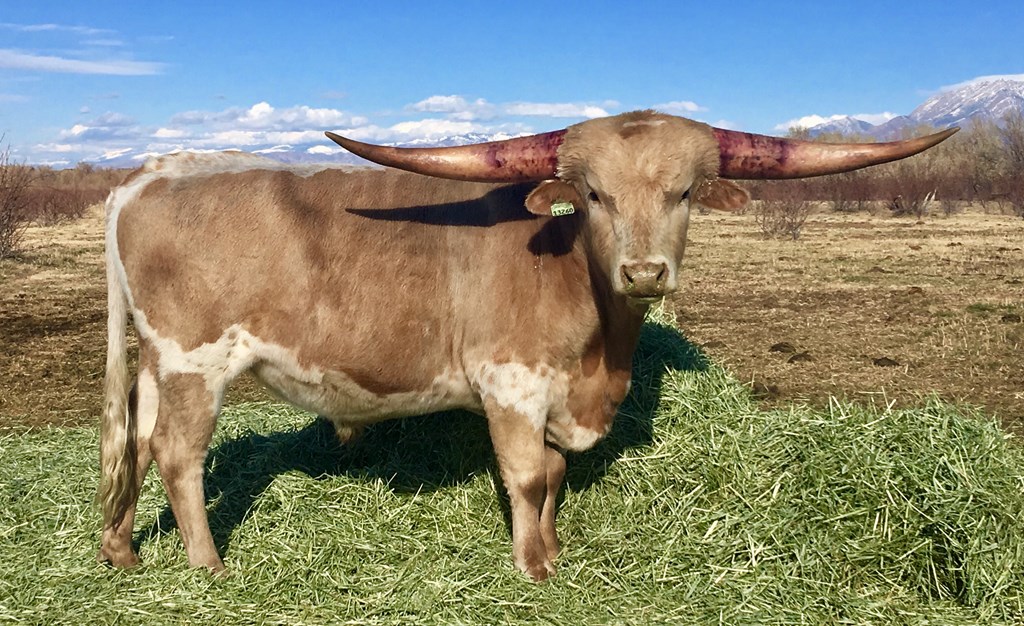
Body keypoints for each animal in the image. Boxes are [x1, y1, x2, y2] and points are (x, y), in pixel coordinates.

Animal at [97, 110, 955, 581]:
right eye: (594, 196)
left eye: (682, 193)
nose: (645, 270)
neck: (599, 351)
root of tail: (150, 174)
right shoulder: (509, 384)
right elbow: (530, 475)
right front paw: (534, 566)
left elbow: (554, 473)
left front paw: (554, 548)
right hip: (195, 362)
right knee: (178, 454)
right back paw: (208, 566)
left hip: (156, 363)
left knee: (134, 441)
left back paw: (122, 550)